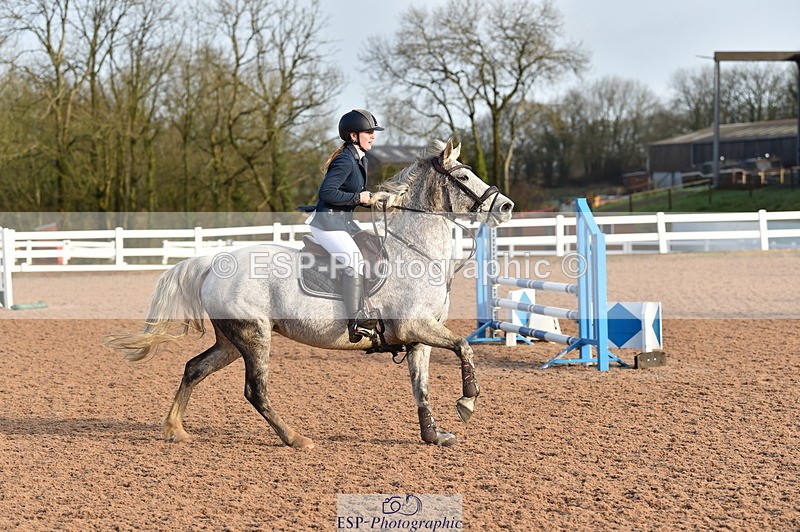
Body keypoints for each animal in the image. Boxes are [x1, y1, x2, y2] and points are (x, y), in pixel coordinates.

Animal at [106, 139, 514, 448]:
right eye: (463, 176)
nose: (506, 206)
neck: (413, 252)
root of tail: (213, 262)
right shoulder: (416, 326)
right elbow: (464, 345)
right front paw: (467, 401)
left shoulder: (419, 338)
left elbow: (421, 387)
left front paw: (433, 434)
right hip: (255, 335)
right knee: (255, 391)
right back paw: (295, 439)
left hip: (231, 340)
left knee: (195, 368)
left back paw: (175, 429)